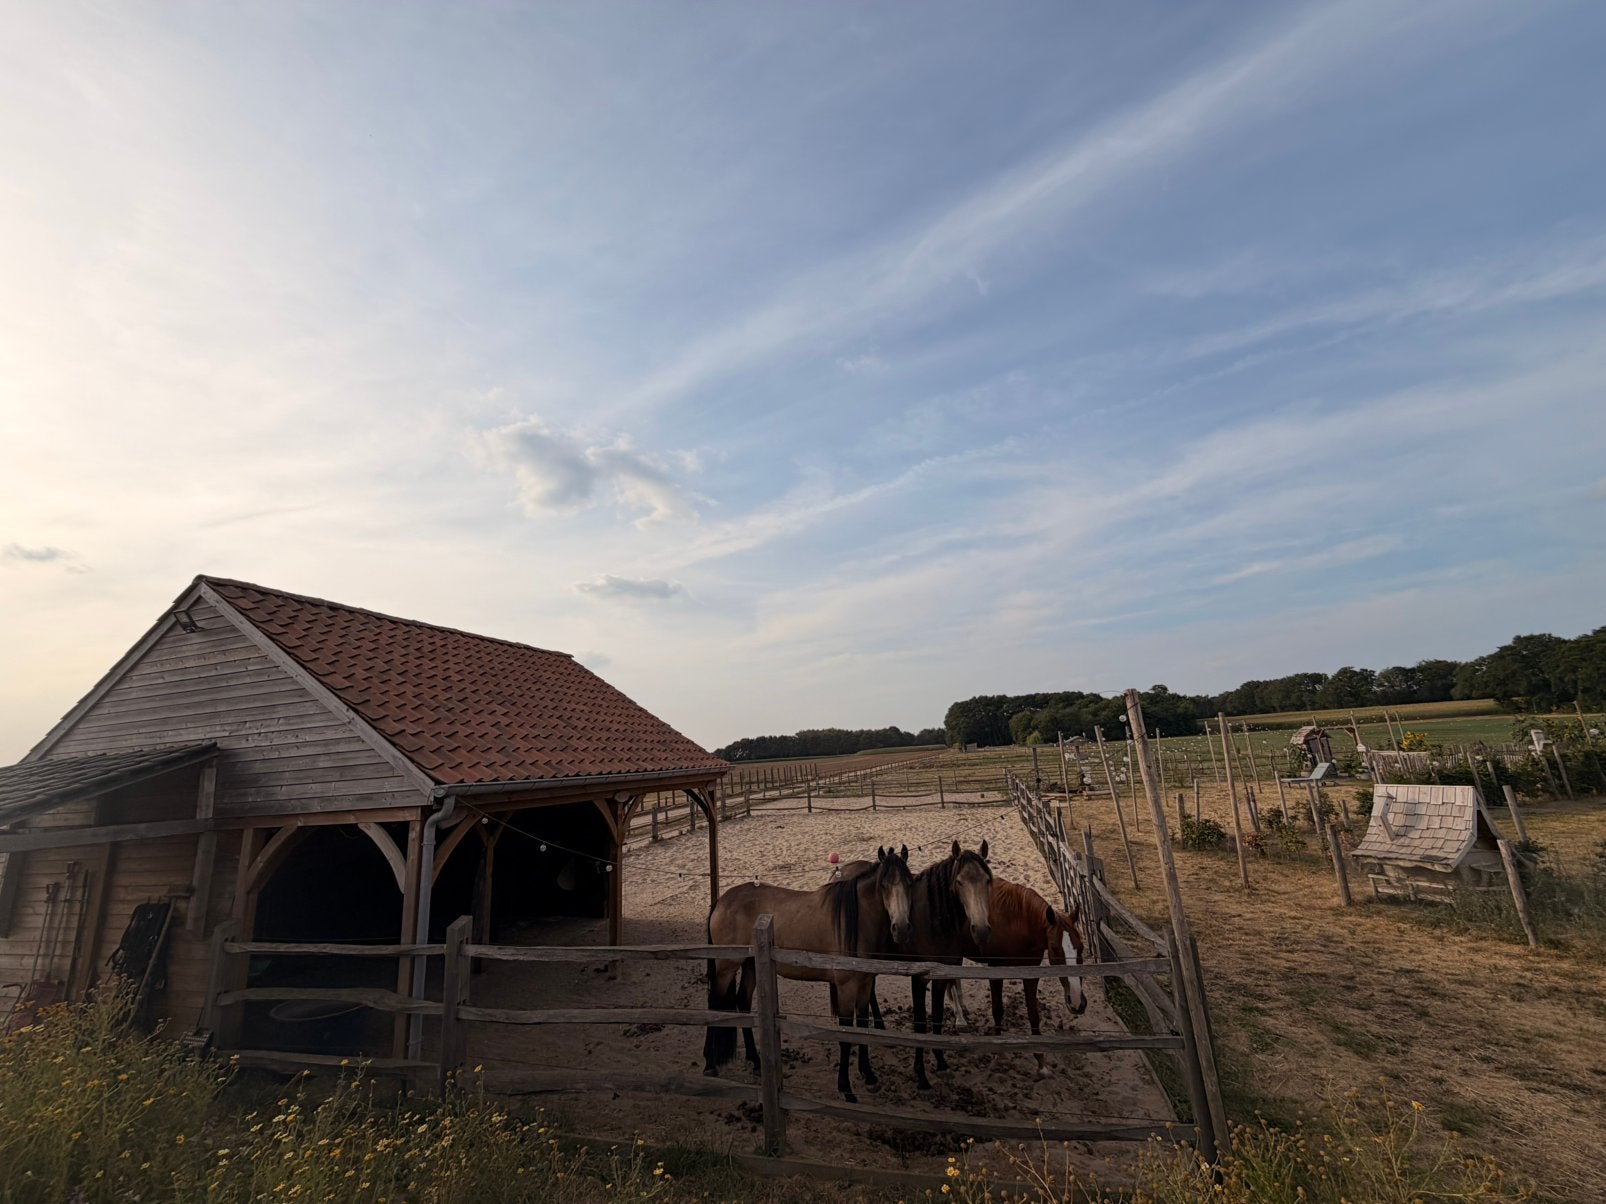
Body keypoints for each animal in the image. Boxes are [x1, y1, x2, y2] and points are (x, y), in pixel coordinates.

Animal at [704, 845, 913, 1102]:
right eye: (883, 884)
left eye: (909, 882)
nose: (901, 928)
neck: (856, 920)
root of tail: (720, 901)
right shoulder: (846, 987)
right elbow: (846, 1035)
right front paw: (846, 1088)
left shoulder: (865, 984)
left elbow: (862, 1029)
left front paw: (869, 1075)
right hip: (726, 966)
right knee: (714, 1004)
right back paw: (710, 1064)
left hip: (751, 965)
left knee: (742, 1003)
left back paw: (756, 1062)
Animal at [961, 878, 1088, 1077]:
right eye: (1054, 949)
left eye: (1081, 947)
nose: (1076, 1002)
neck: (1017, 923)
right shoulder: (995, 970)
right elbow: (998, 1010)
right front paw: (1000, 1056)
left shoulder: (1031, 973)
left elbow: (1034, 1015)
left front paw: (1041, 1062)